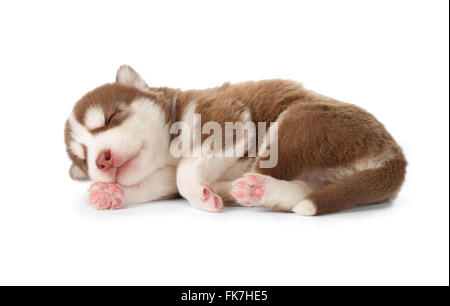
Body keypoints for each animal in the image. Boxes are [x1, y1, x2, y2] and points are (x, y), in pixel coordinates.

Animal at [64, 65, 408, 215]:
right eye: (83, 157)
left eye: (111, 118)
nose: (102, 160)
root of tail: (397, 155)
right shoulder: (162, 173)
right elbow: (162, 182)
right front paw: (114, 193)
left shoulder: (228, 119)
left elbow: (186, 172)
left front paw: (201, 196)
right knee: (302, 190)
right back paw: (252, 191)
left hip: (297, 122)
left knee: (270, 169)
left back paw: (245, 190)